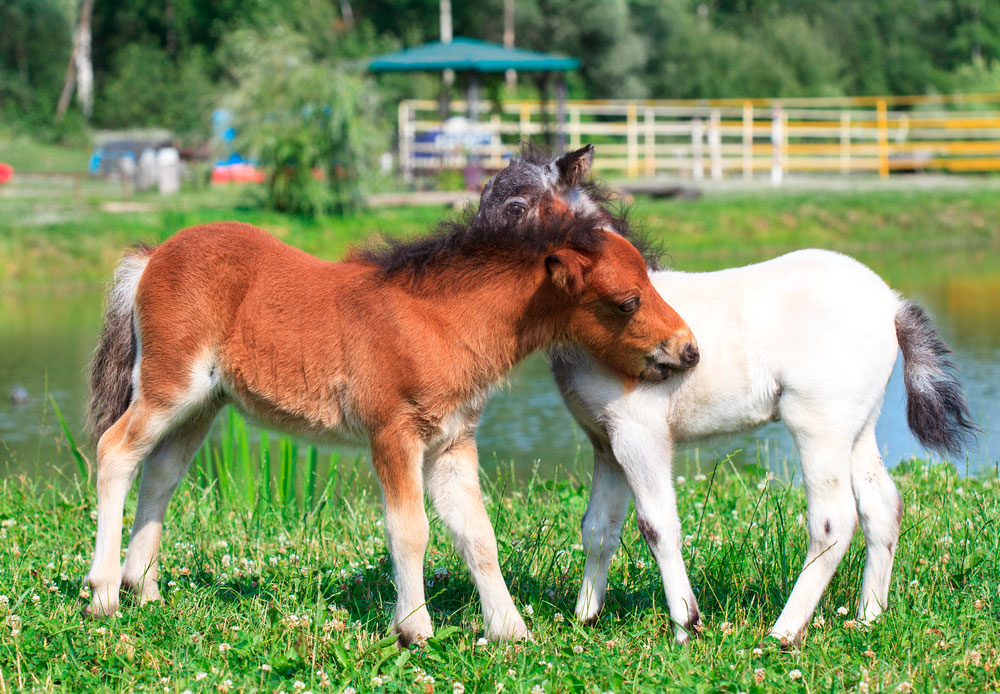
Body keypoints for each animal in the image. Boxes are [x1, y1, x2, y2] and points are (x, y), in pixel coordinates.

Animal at [84, 154, 696, 648]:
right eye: (626, 301)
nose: (687, 350)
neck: (440, 320)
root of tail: (152, 255)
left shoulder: (451, 442)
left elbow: (477, 534)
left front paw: (510, 630)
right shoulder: (393, 435)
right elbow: (410, 530)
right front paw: (414, 628)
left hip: (202, 405)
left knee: (160, 474)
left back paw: (145, 589)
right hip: (169, 386)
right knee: (115, 451)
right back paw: (104, 593)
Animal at [548, 250, 976, 648]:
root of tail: (891, 304)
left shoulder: (639, 435)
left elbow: (656, 527)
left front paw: (686, 627)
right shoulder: (607, 444)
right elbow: (598, 526)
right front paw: (585, 618)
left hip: (818, 425)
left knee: (833, 521)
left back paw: (784, 633)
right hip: (859, 429)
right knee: (883, 505)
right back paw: (868, 616)